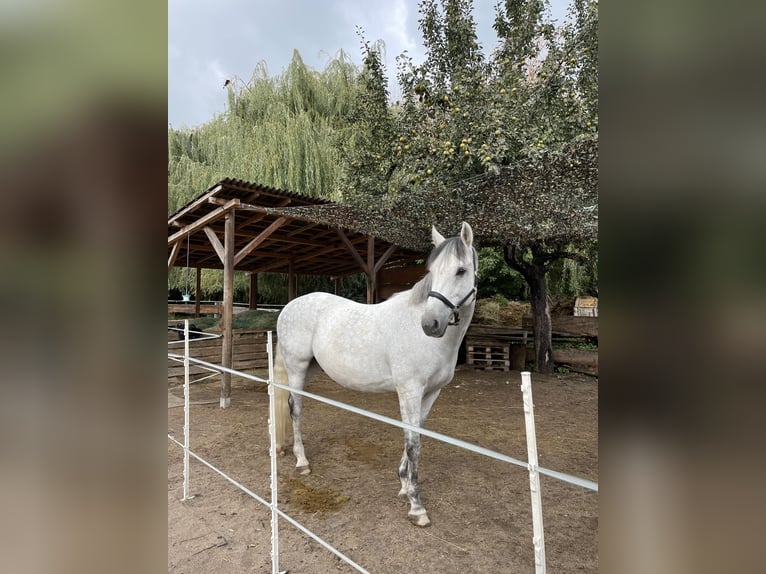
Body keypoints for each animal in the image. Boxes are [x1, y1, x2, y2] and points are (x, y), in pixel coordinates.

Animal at [273, 222, 478, 527]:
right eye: (432, 271)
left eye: (461, 271)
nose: (430, 324)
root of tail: (289, 306)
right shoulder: (409, 390)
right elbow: (413, 442)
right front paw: (416, 506)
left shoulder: (431, 393)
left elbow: (416, 435)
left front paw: (403, 485)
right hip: (296, 368)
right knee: (295, 409)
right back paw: (302, 461)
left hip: (309, 369)